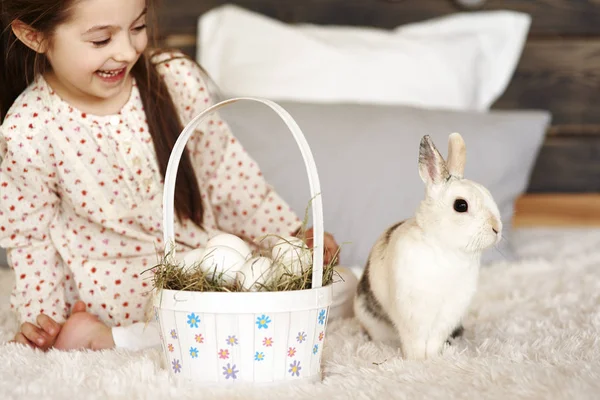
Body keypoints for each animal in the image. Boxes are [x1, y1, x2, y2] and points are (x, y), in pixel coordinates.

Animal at [356, 133, 502, 360]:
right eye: (461, 205)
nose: (497, 228)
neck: (445, 249)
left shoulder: (447, 314)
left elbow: (434, 341)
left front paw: (432, 359)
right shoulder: (413, 314)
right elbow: (415, 342)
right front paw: (416, 361)